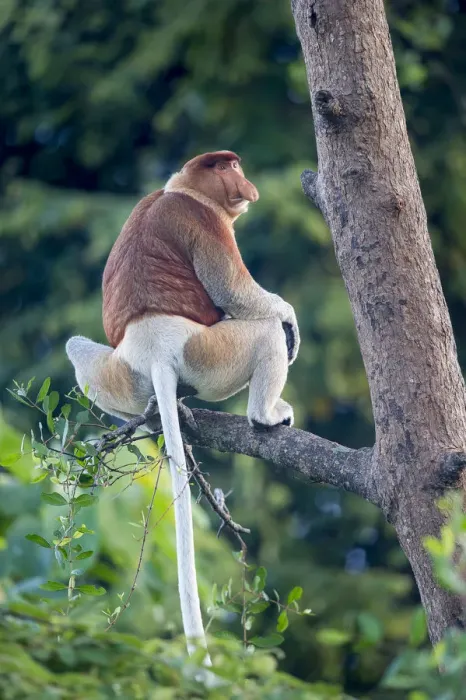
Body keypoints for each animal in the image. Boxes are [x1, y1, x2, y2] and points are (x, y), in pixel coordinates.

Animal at [66, 150, 300, 663]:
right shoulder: (205, 223)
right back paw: (266, 415)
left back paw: (157, 411)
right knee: (263, 331)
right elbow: (237, 293)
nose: (246, 186)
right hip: (210, 353)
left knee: (75, 347)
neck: (179, 190)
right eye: (230, 166)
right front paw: (289, 318)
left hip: (120, 372)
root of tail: (156, 351)